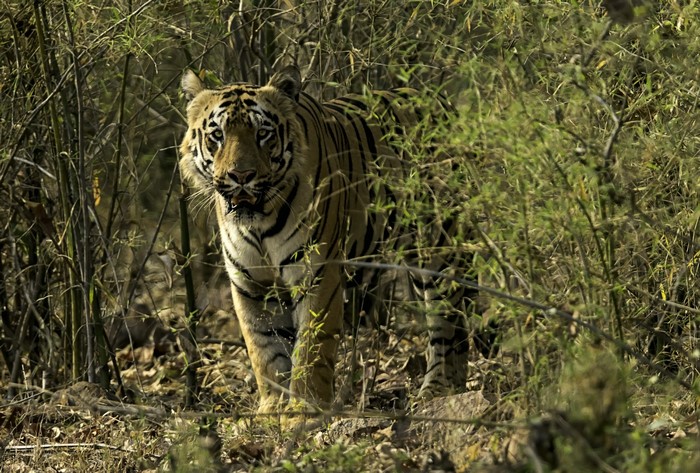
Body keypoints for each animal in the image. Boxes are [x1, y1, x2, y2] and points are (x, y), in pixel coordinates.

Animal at [178, 65, 480, 417]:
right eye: (218, 135)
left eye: (263, 134)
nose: (241, 176)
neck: (258, 222)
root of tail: (442, 103)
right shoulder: (251, 285)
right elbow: (265, 352)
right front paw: (272, 411)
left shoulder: (316, 275)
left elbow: (311, 351)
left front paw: (302, 413)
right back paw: (455, 389)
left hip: (437, 250)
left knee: (445, 323)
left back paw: (437, 389)